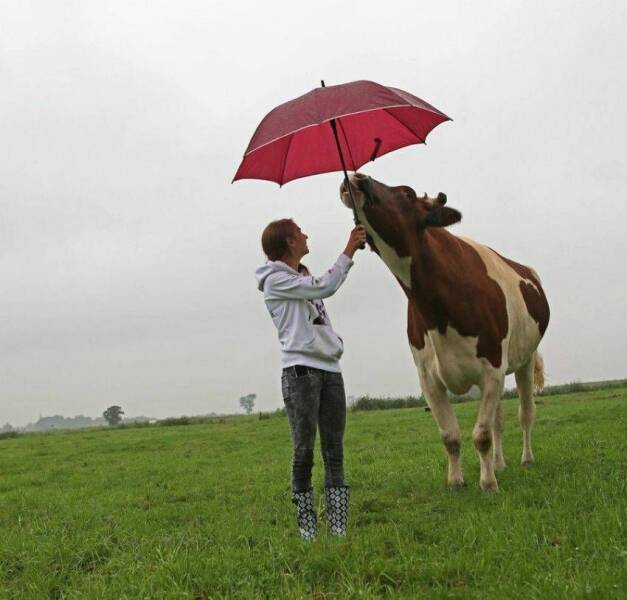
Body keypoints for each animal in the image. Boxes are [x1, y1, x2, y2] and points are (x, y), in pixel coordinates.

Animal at [340, 171, 552, 490]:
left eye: (406, 194)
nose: (356, 176)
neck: (439, 309)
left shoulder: (492, 367)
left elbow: (481, 435)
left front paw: (487, 484)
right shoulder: (429, 378)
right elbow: (451, 436)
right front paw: (456, 482)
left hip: (525, 359)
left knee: (525, 413)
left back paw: (526, 459)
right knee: (499, 420)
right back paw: (499, 464)